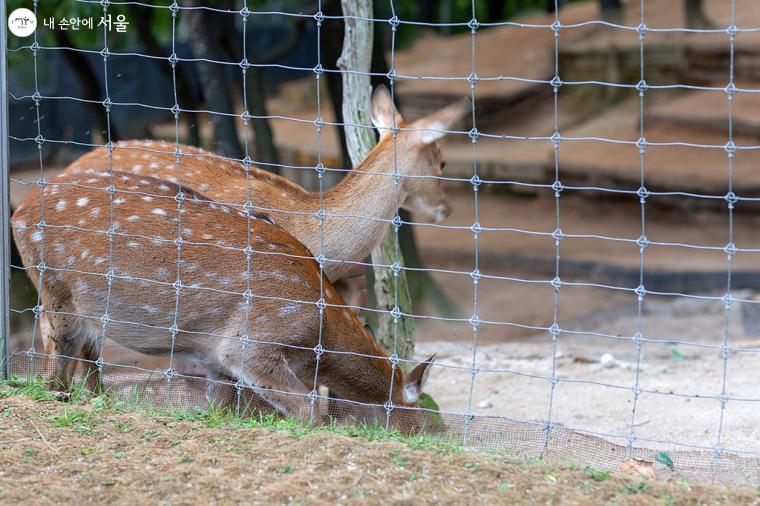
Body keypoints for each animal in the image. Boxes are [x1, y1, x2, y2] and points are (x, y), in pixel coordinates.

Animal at [11, 172, 436, 428]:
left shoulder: (213, 356)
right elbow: (307, 408)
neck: (318, 336)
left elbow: (219, 405)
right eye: (420, 421)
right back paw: (59, 396)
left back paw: (100, 398)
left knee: (86, 352)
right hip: (54, 285)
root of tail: (20, 210)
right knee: (56, 349)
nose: (420, 434)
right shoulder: (251, 341)